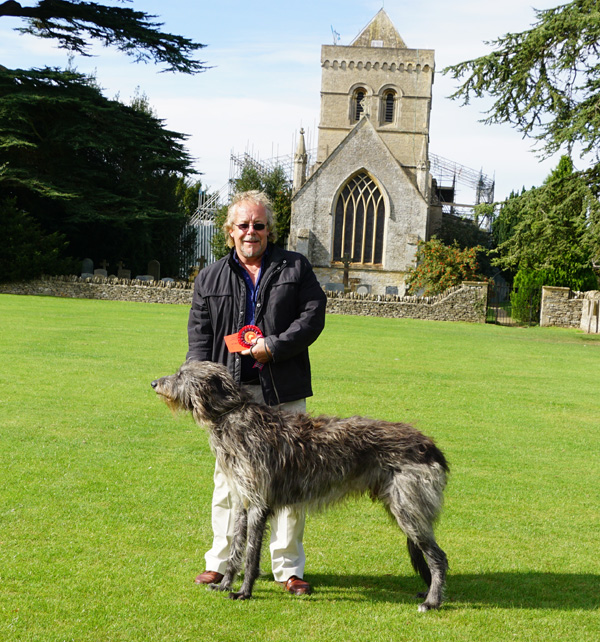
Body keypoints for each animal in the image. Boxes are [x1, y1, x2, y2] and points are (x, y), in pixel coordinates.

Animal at [152, 358, 448, 608]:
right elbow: (236, 548)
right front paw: (225, 585)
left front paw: (244, 592)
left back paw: (432, 601)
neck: (232, 416)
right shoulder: (243, 502)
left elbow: (250, 554)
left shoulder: (259, 504)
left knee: (438, 557)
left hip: (408, 508)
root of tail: (431, 447)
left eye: (181, 375)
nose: (154, 383)